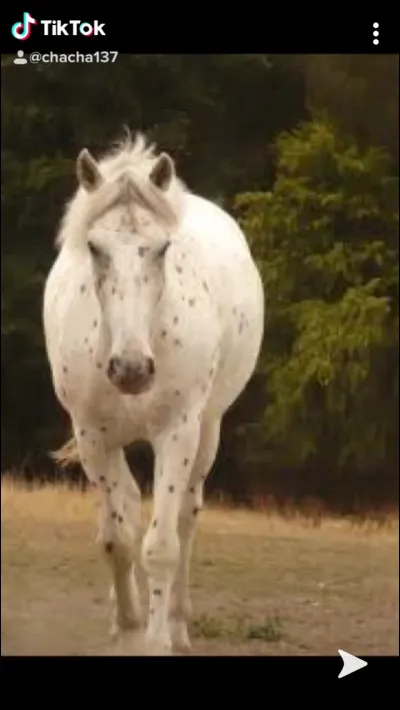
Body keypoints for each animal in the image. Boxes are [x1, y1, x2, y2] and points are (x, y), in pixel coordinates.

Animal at [42, 131, 264, 653]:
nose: (131, 369)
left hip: (207, 431)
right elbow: (117, 540)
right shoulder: (92, 436)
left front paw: (157, 638)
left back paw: (179, 626)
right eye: (94, 247)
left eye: (161, 249)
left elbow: (161, 546)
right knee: (122, 508)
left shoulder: (177, 432)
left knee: (186, 517)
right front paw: (128, 628)